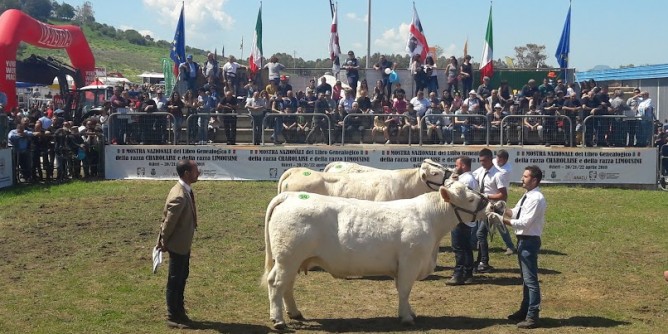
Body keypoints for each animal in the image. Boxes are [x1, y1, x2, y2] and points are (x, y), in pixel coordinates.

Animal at [264, 180, 494, 328]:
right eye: (470, 199)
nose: (491, 203)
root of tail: (291, 196)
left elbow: (403, 291)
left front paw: (410, 312)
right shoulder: (410, 262)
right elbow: (404, 290)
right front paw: (406, 317)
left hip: (293, 259)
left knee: (286, 285)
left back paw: (295, 313)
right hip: (287, 258)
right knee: (276, 283)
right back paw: (278, 320)